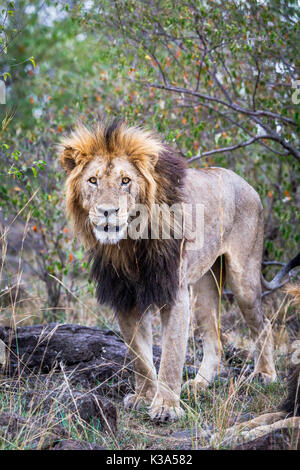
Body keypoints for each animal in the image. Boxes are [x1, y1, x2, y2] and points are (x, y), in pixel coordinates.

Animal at [59, 119, 278, 424]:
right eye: (93, 181)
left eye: (125, 181)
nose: (107, 211)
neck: (128, 244)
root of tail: (247, 184)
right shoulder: (124, 296)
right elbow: (139, 355)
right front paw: (144, 396)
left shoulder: (173, 291)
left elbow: (172, 354)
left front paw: (166, 407)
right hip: (204, 286)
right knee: (214, 338)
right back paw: (200, 384)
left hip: (243, 277)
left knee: (263, 324)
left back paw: (265, 374)